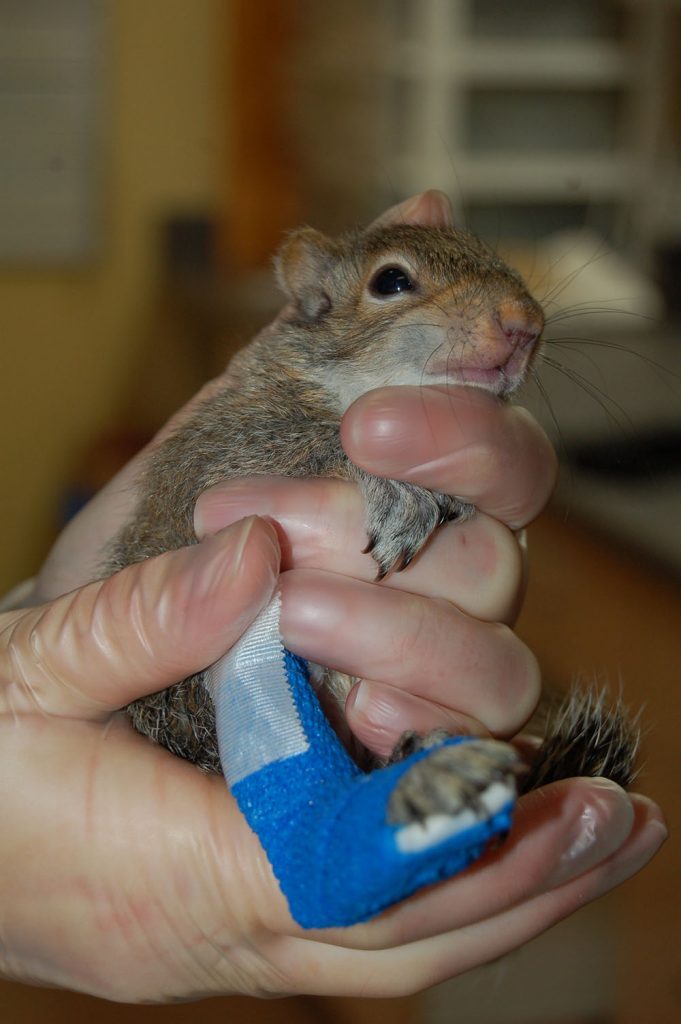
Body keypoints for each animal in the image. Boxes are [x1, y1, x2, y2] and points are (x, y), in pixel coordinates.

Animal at [104, 190, 639, 815]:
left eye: (494, 256)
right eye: (391, 281)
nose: (525, 324)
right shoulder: (212, 455)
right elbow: (298, 444)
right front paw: (403, 491)